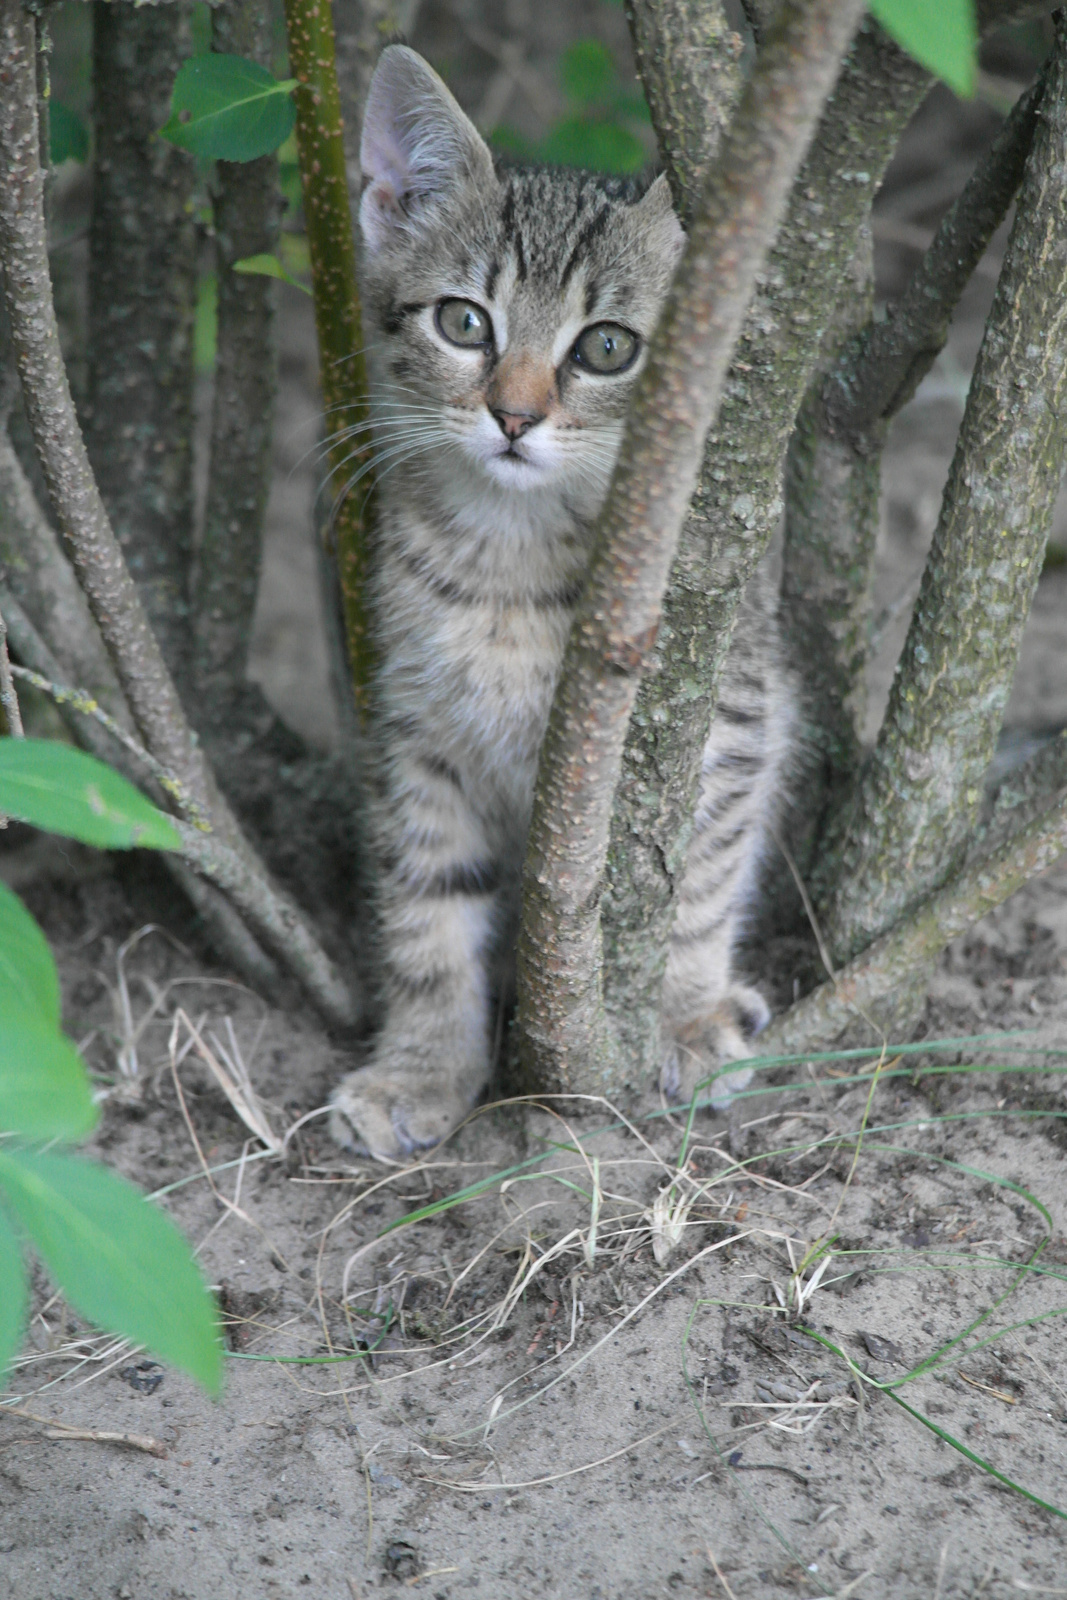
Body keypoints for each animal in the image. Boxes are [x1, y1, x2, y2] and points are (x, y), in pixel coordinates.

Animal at [331, 43, 793, 1158]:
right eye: (464, 322)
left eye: (607, 348)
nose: (513, 414)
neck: (510, 561)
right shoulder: (411, 730)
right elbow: (424, 907)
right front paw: (422, 1067)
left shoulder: (725, 713)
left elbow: (694, 874)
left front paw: (681, 1014)